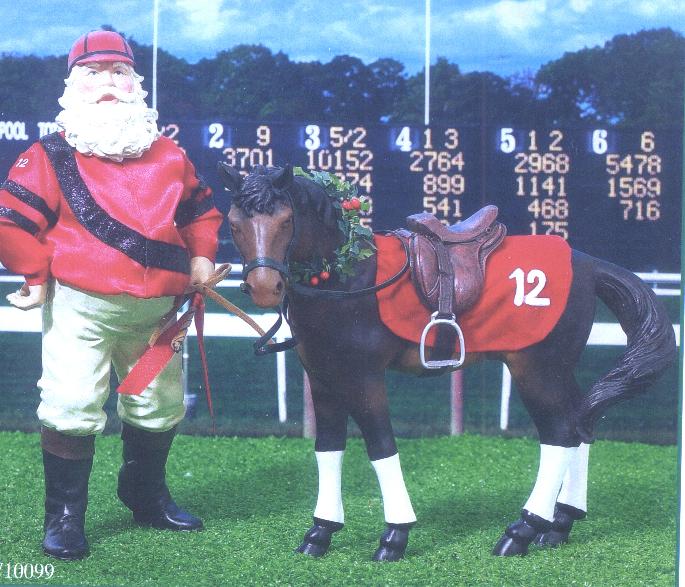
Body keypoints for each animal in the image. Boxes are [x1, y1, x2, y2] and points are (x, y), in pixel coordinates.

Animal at [218, 163, 672, 564]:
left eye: (284, 220)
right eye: (235, 222)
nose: (264, 288)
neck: (348, 273)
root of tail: (588, 263)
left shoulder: (364, 377)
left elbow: (381, 446)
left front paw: (394, 536)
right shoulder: (323, 377)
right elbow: (328, 447)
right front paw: (320, 533)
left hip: (536, 369)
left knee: (560, 433)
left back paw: (522, 531)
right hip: (557, 368)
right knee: (581, 425)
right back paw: (560, 524)